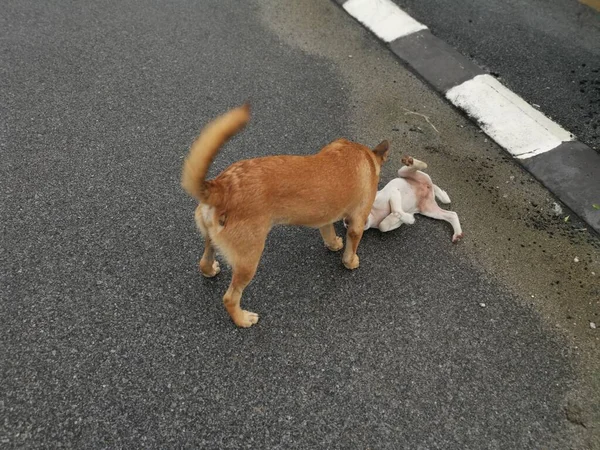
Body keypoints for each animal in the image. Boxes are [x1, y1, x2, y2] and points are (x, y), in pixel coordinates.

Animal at [182, 105, 390, 326]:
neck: (362, 154)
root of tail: (222, 187)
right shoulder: (358, 221)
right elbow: (351, 247)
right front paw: (350, 262)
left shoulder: (324, 217)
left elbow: (329, 233)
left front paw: (334, 244)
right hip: (249, 260)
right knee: (230, 298)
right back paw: (242, 318)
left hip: (213, 242)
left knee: (203, 262)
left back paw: (210, 270)